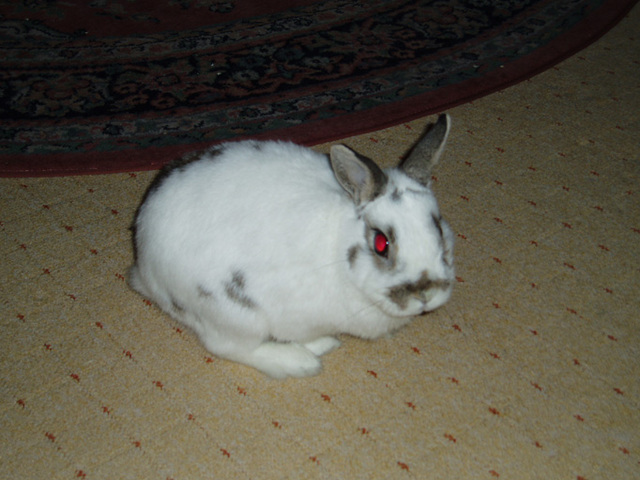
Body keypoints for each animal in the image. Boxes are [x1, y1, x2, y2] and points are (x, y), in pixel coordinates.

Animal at [129, 114, 454, 378]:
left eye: (439, 228)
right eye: (381, 243)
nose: (426, 295)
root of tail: (143, 267)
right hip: (233, 315)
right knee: (227, 347)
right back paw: (301, 360)